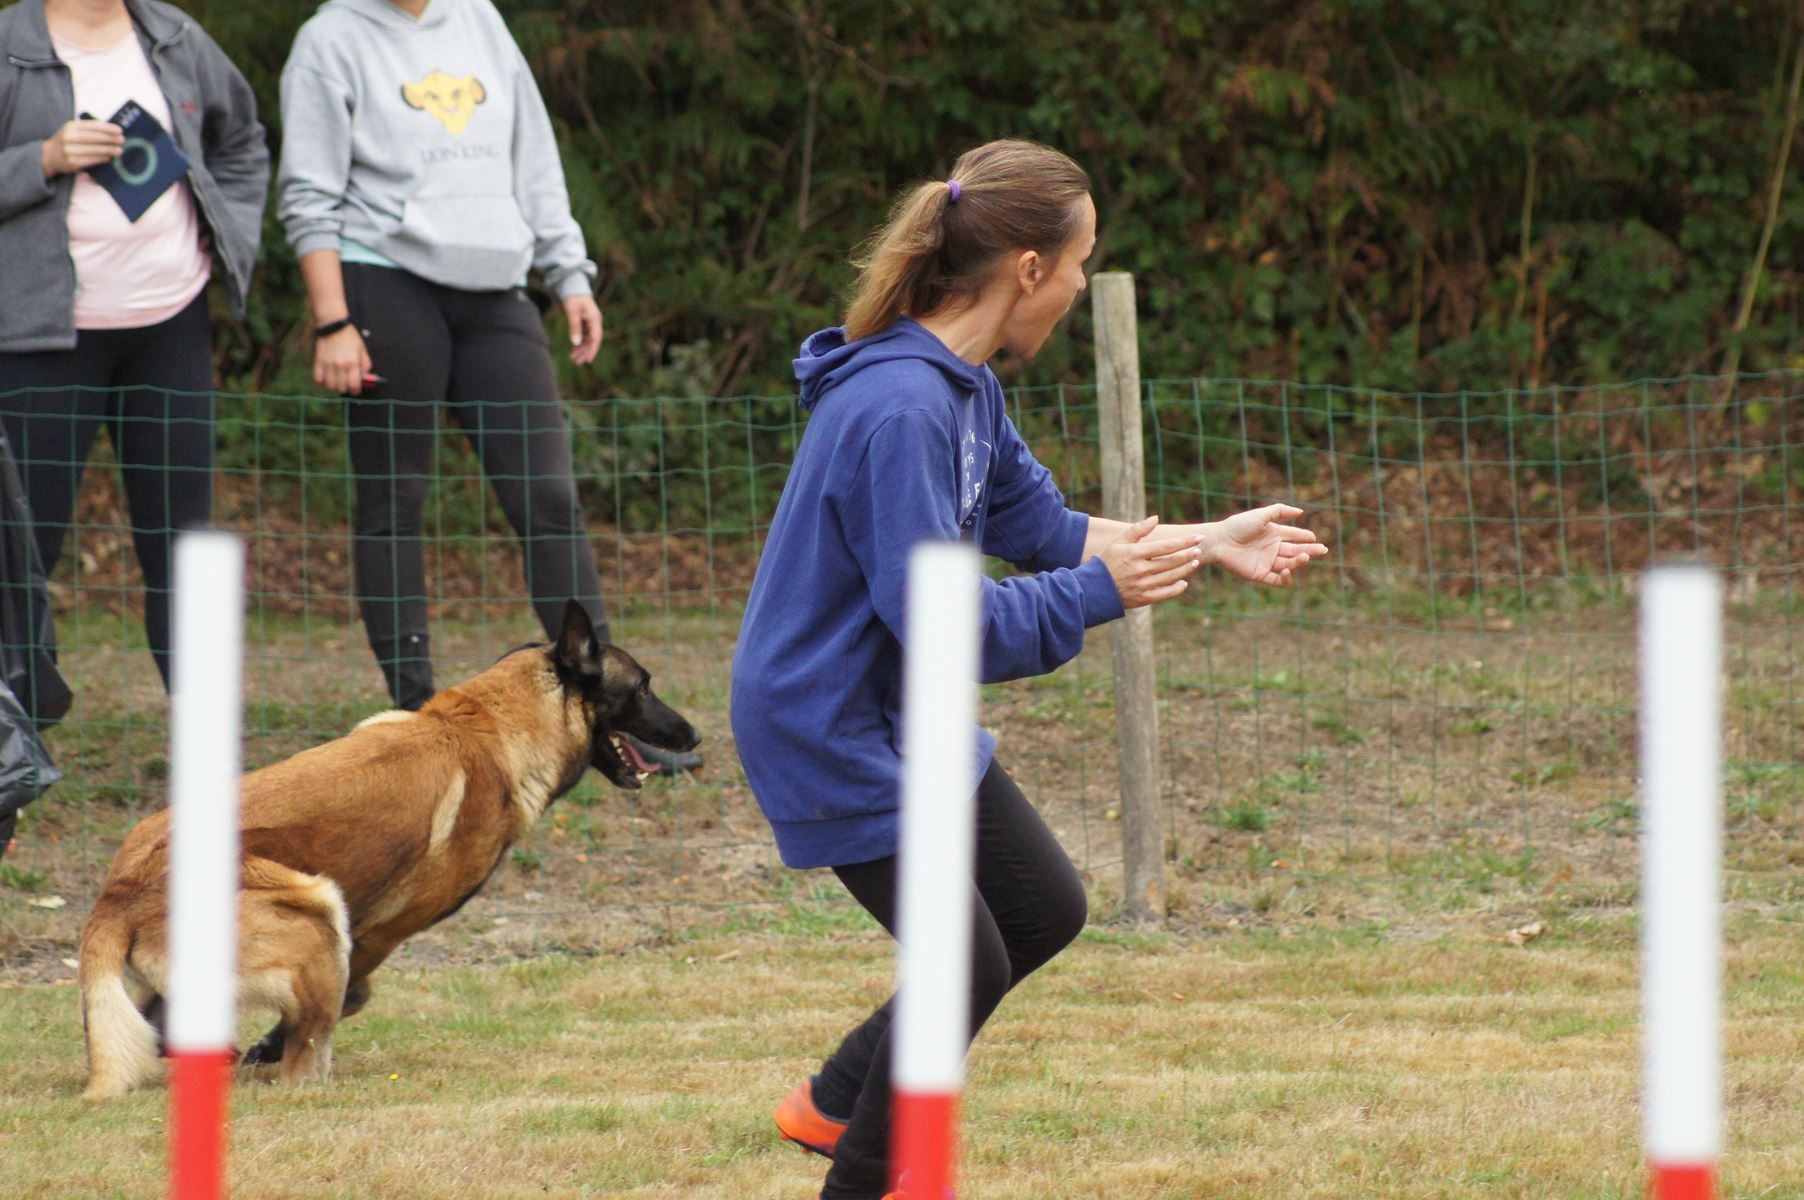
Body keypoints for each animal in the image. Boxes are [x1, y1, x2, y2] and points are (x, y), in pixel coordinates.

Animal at [79, 599, 696, 1097]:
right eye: (644, 687)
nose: (695, 737)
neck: (490, 729)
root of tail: (117, 894)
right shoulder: (382, 930)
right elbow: (356, 995)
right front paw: (270, 1044)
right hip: (321, 915)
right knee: (304, 1062)